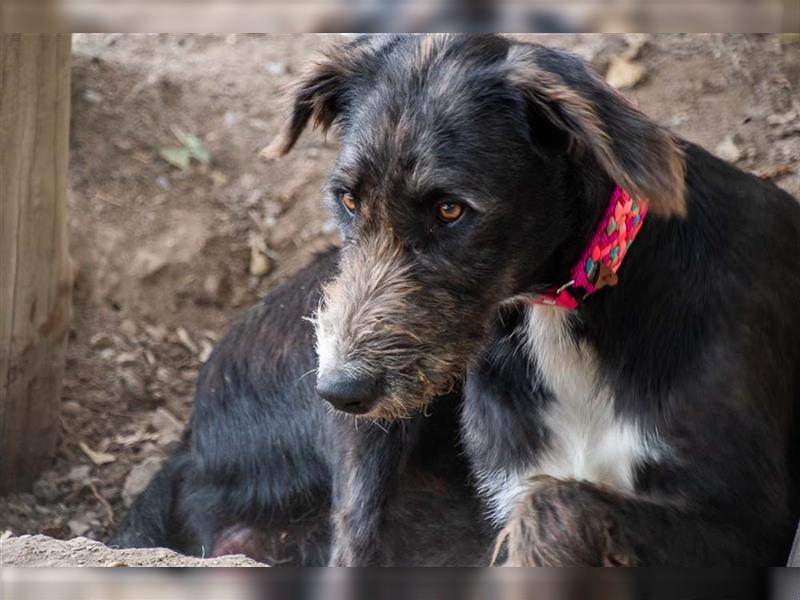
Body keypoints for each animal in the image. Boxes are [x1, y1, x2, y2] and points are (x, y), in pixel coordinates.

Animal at [117, 35, 800, 564]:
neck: (562, 315)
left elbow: (555, 504)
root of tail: (188, 445)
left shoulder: (754, 519)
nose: (338, 389)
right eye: (347, 199)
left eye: (451, 210)